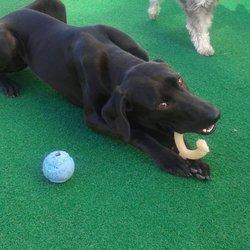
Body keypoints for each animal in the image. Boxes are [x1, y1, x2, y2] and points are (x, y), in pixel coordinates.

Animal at [0, 0, 220, 180]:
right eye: (162, 104)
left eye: (180, 81)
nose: (216, 114)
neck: (116, 59)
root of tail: (7, 16)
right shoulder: (95, 119)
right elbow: (136, 132)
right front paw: (170, 158)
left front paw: (192, 157)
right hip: (11, 48)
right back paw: (8, 84)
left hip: (56, 4)